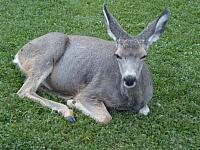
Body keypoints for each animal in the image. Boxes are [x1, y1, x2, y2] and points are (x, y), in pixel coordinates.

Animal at [12, 5, 169, 123]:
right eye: (117, 55)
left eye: (144, 55)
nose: (129, 79)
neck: (128, 100)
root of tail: (18, 54)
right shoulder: (90, 91)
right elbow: (106, 118)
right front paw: (73, 103)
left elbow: (145, 110)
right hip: (49, 52)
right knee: (24, 91)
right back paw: (68, 111)